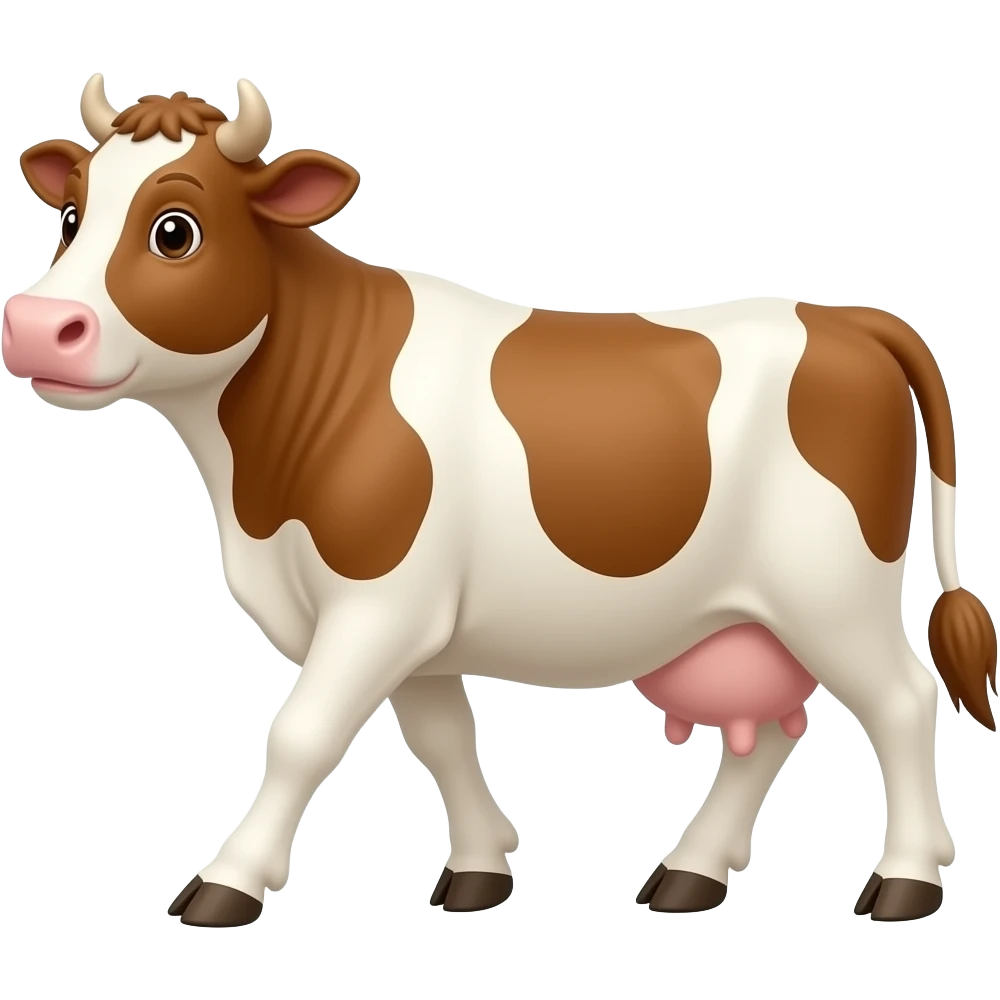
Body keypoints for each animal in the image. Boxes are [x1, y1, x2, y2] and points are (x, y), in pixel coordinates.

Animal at [5, 74, 996, 928]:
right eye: (69, 216)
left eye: (175, 230)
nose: (36, 327)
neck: (256, 491)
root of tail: (843, 317)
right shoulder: (417, 628)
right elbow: (444, 738)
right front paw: (480, 870)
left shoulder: (378, 604)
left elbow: (299, 735)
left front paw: (227, 883)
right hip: (753, 613)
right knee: (774, 729)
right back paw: (689, 875)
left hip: (834, 590)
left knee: (902, 702)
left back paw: (905, 882)